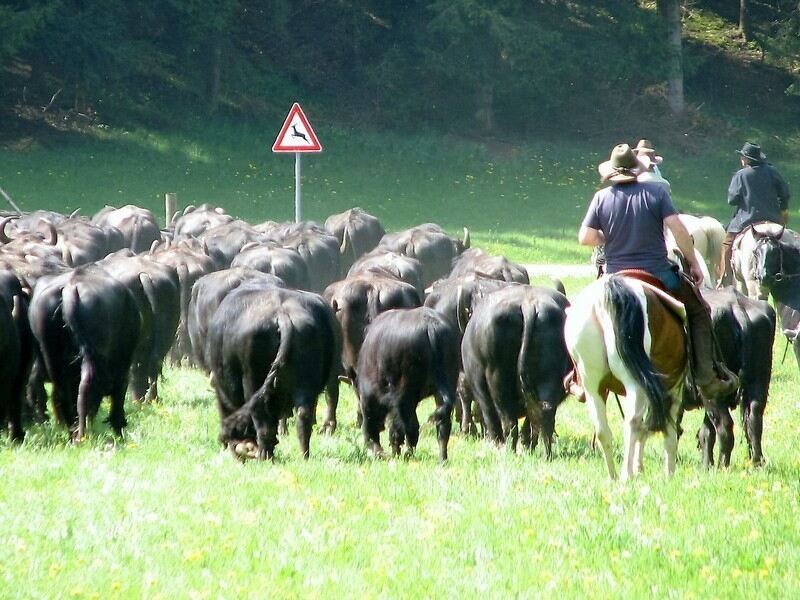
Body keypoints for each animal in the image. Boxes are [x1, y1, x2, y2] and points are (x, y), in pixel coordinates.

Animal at [27, 270, 141, 438]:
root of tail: (70, 289)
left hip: (53, 360)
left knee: (63, 395)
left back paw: (73, 433)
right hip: (91, 357)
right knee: (86, 388)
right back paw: (82, 434)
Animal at [206, 286, 340, 460]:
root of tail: (283, 316)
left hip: (253, 382)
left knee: (262, 421)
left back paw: (265, 456)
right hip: (306, 384)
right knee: (304, 417)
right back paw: (304, 456)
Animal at [460, 284, 572, 458]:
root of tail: (528, 305)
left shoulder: (480, 388)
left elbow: (490, 417)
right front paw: (528, 445)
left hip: (497, 378)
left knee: (508, 421)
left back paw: (508, 450)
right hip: (550, 377)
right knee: (545, 412)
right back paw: (546, 454)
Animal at [564, 274, 688, 480]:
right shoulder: (672, 391)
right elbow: (667, 434)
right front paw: (668, 475)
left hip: (592, 384)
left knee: (603, 430)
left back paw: (614, 476)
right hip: (635, 385)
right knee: (633, 422)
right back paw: (626, 475)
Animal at [680, 288, 776, 468]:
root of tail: (736, 307)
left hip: (713, 392)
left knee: (725, 427)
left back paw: (722, 466)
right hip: (759, 380)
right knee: (754, 419)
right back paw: (756, 462)